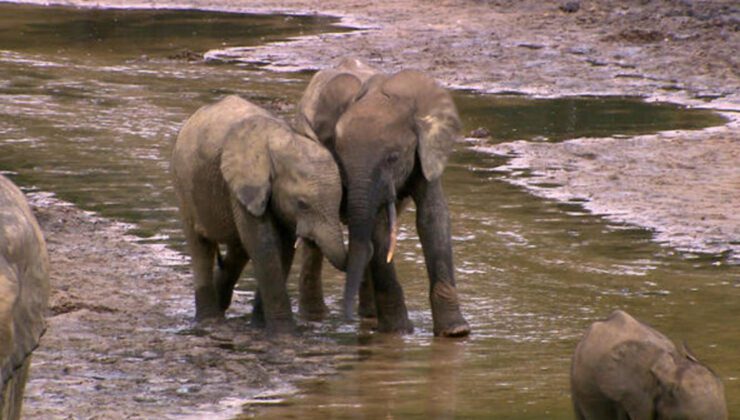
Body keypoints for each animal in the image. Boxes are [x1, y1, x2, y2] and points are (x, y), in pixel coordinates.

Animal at [173, 95, 346, 334]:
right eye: (302, 204)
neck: (281, 139)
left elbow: (283, 248)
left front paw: (259, 326)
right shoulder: (243, 187)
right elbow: (264, 245)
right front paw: (284, 334)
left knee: (238, 251)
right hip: (184, 187)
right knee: (201, 248)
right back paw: (209, 322)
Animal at [294, 57, 468, 336]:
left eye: (393, 158)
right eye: (340, 160)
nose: (346, 319)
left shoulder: (427, 154)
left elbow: (433, 218)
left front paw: (455, 333)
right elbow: (378, 228)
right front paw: (399, 333)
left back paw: (368, 318)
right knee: (314, 242)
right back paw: (315, 318)